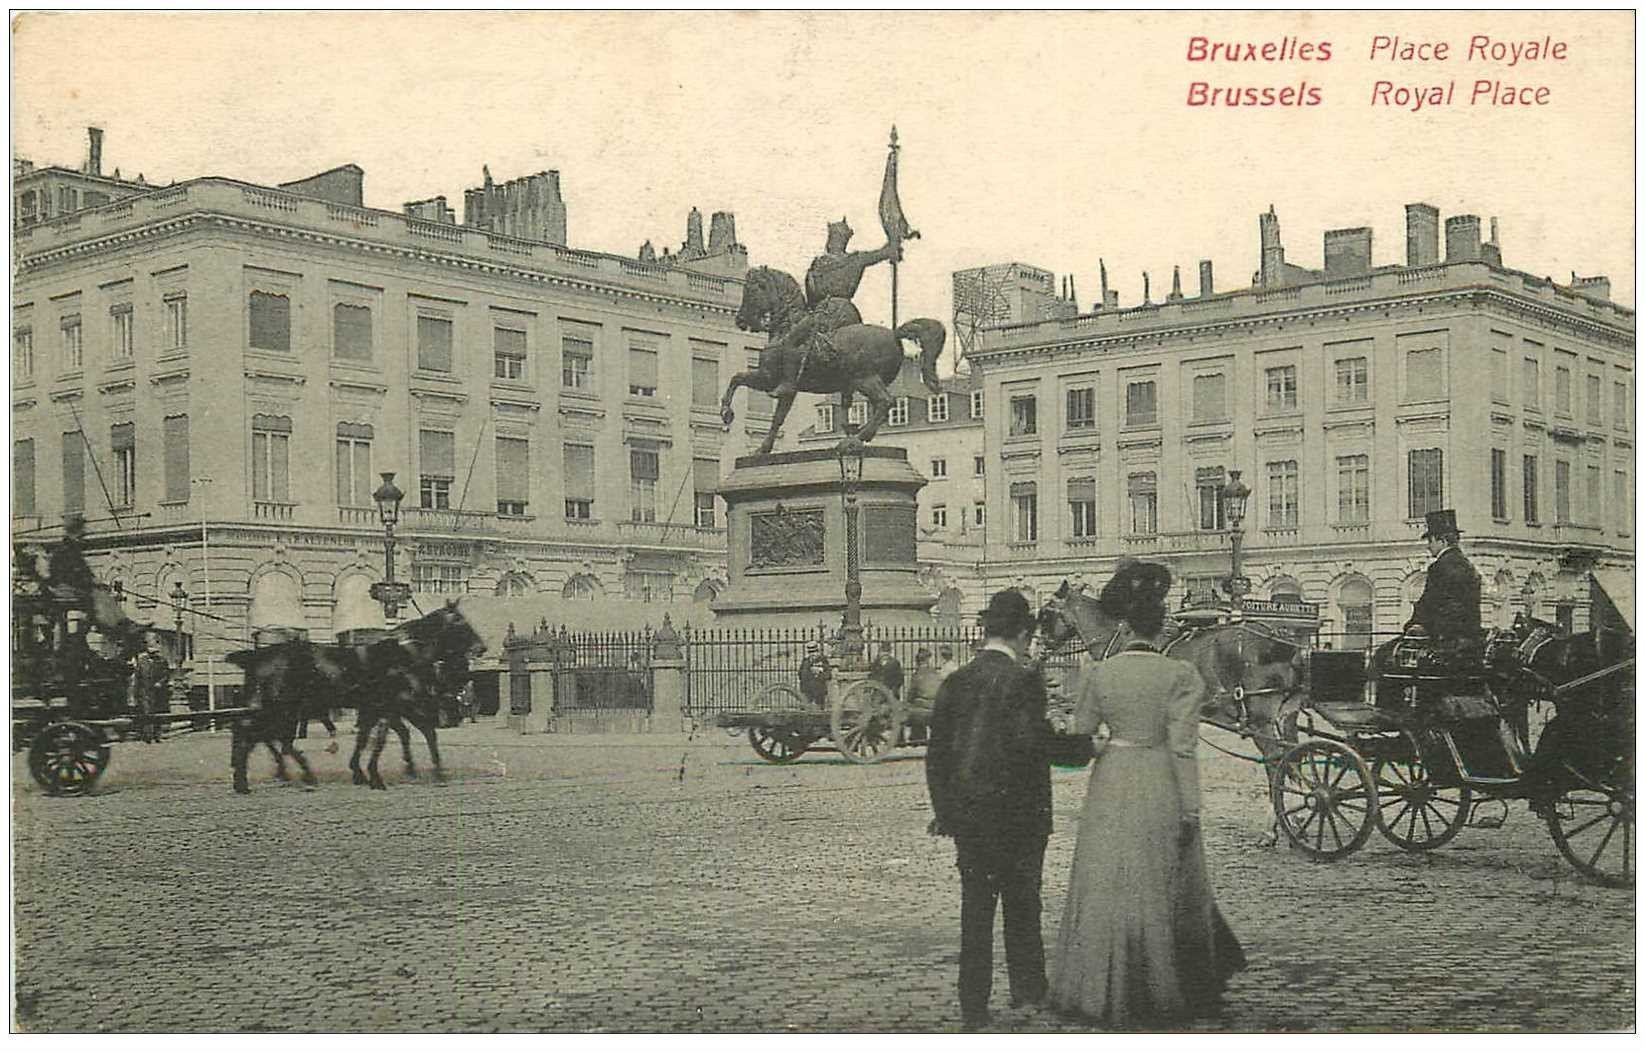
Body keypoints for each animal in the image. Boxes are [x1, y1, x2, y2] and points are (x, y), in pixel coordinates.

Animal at [225, 598, 483, 789]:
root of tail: (258, 656)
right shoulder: (394, 706)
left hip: (276, 707)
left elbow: (371, 738)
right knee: (257, 734)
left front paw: (363, 771)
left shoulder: (383, 708)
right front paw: (377, 775)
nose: (481, 648)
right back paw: (259, 778)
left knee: (259, 735)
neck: (403, 654)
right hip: (279, 705)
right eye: (459, 622)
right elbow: (386, 738)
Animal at [723, 264, 954, 454]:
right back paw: (857, 433)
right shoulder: (788, 389)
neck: (786, 327)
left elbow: (737, 379)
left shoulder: (769, 378)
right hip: (859, 383)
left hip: (866, 379)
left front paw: (726, 413)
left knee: (885, 401)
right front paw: (762, 448)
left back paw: (858, 438)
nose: (741, 320)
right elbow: (777, 417)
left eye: (752, 290)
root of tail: (894, 334)